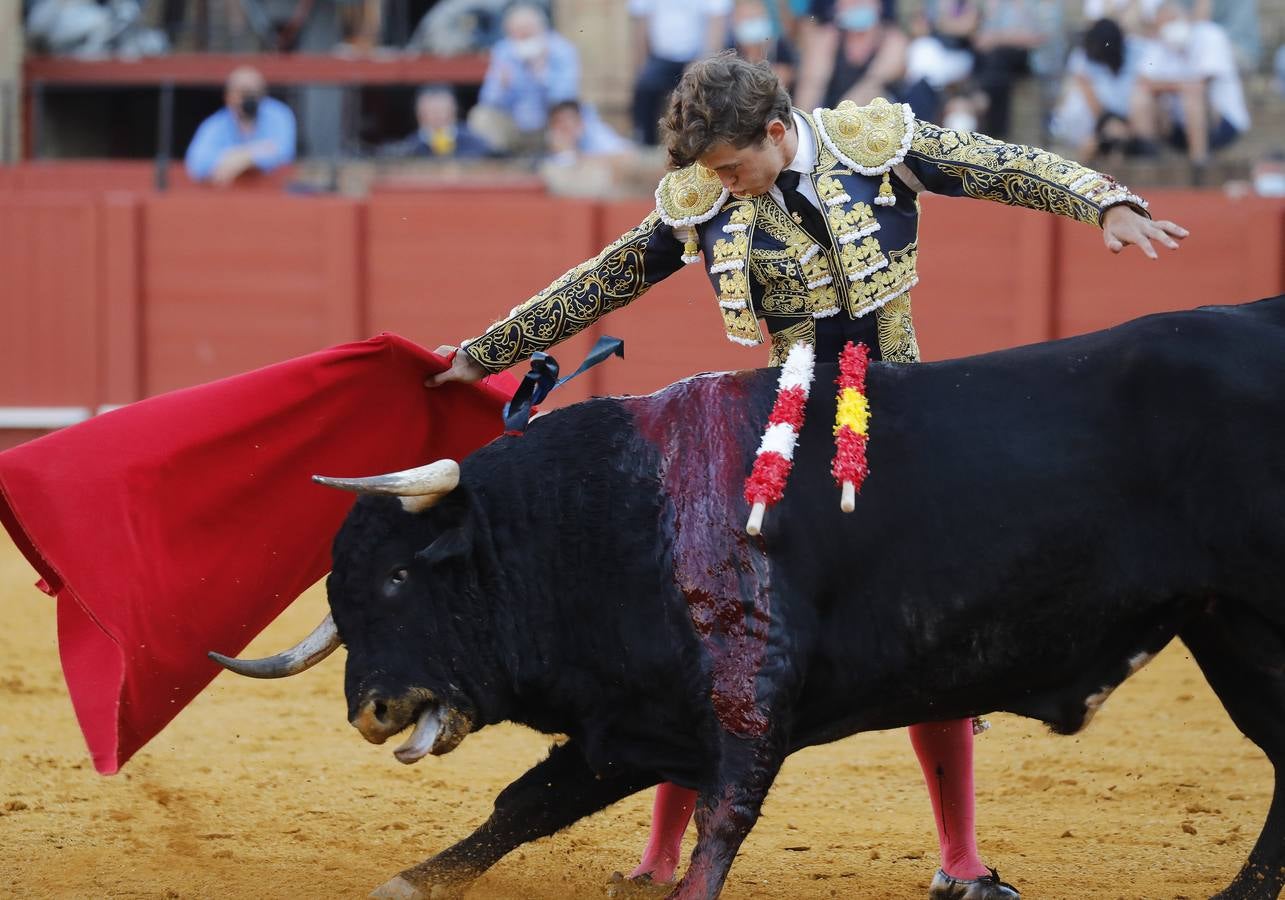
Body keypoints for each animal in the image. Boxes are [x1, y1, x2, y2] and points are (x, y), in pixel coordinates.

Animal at [233, 297, 1285, 900]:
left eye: (402, 574)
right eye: (341, 591)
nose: (371, 710)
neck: (603, 518)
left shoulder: (749, 699)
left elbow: (721, 821)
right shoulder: (631, 721)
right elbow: (524, 804)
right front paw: (410, 884)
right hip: (1229, 630)